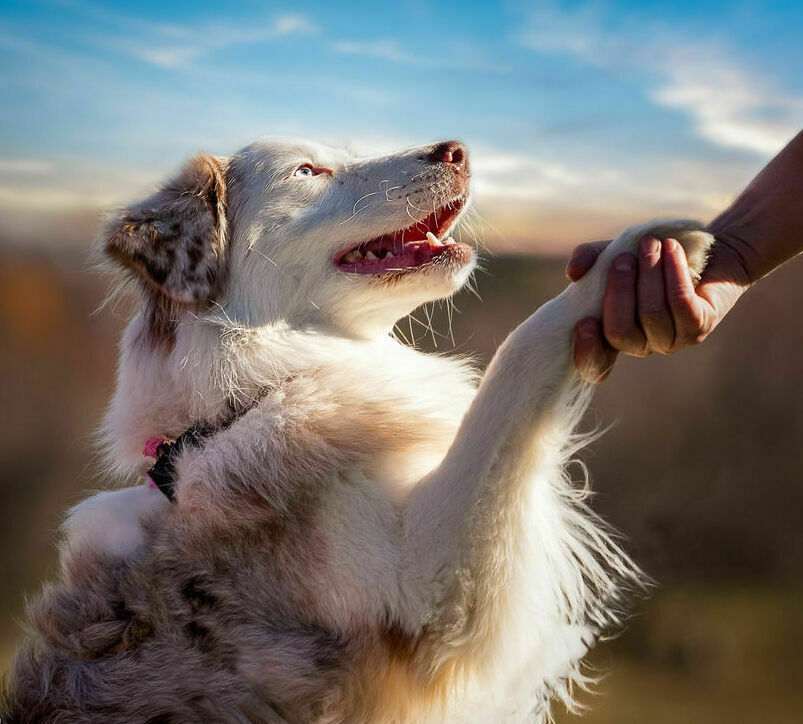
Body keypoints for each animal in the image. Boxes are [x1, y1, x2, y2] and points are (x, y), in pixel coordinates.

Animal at [3, 139, 712, 720]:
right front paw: (640, 252)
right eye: (308, 170)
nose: (456, 149)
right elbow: (520, 356)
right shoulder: (431, 592)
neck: (246, 399)